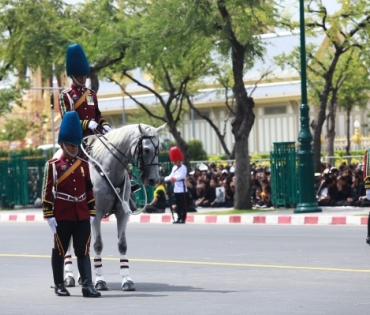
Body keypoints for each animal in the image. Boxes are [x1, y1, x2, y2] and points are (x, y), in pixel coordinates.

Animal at [64, 123, 165, 292]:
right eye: (146, 149)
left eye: (160, 149)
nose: (154, 179)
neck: (107, 169)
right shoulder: (96, 214)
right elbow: (97, 245)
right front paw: (100, 280)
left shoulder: (122, 213)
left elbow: (122, 244)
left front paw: (127, 280)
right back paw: (69, 277)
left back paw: (80, 277)